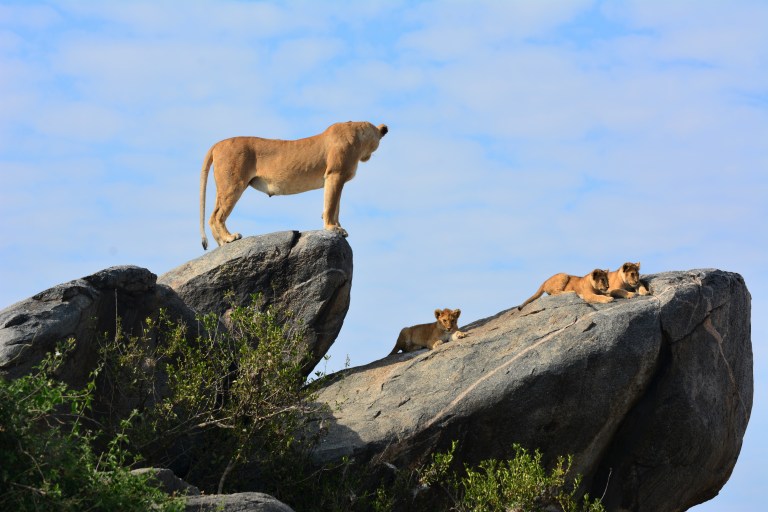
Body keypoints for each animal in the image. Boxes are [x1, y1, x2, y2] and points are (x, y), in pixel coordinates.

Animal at [199, 121, 388, 249]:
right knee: (217, 216)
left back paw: (222, 243)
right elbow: (331, 204)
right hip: (233, 184)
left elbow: (336, 206)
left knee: (213, 215)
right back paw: (229, 238)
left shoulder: (337, 178)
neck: (359, 136)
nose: (367, 157)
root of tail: (217, 144)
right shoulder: (334, 174)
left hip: (224, 187)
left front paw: (338, 226)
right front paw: (332, 228)